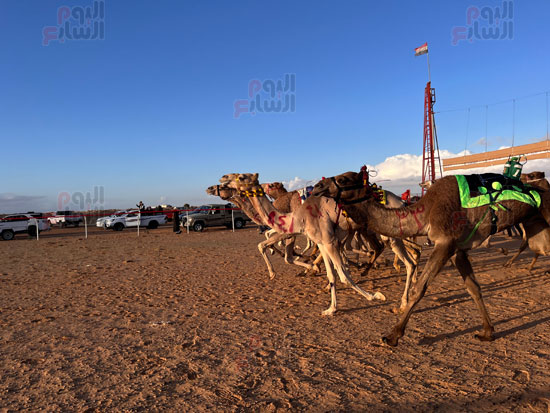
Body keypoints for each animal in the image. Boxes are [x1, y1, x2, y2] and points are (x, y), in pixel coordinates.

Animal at [220, 172, 388, 314]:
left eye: (241, 176)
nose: (222, 181)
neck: (298, 216)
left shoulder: (329, 241)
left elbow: (342, 275)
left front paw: (374, 296)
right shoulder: (322, 242)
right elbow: (331, 274)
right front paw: (331, 309)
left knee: (379, 245)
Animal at [310, 167, 550, 344]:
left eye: (343, 179)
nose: (317, 187)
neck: (423, 213)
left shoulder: (444, 243)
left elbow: (419, 289)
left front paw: (393, 335)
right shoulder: (457, 250)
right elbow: (473, 288)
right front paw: (488, 332)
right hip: (535, 223)